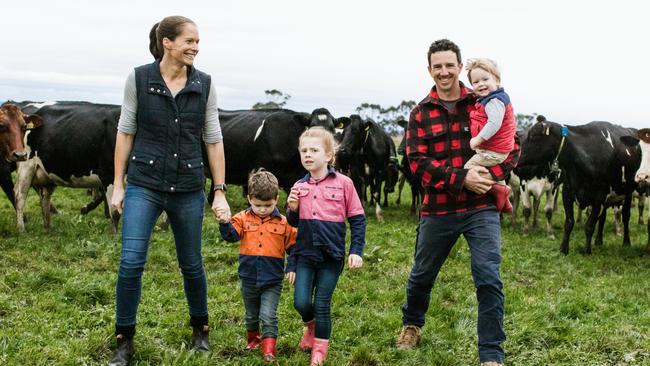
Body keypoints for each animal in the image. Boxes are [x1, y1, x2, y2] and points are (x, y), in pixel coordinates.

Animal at [516, 120, 636, 254]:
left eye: (533, 136)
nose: (515, 155)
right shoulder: (567, 192)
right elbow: (568, 222)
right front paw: (564, 249)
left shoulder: (599, 197)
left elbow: (589, 225)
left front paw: (587, 251)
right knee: (603, 218)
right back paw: (598, 241)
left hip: (627, 193)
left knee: (625, 216)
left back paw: (626, 242)